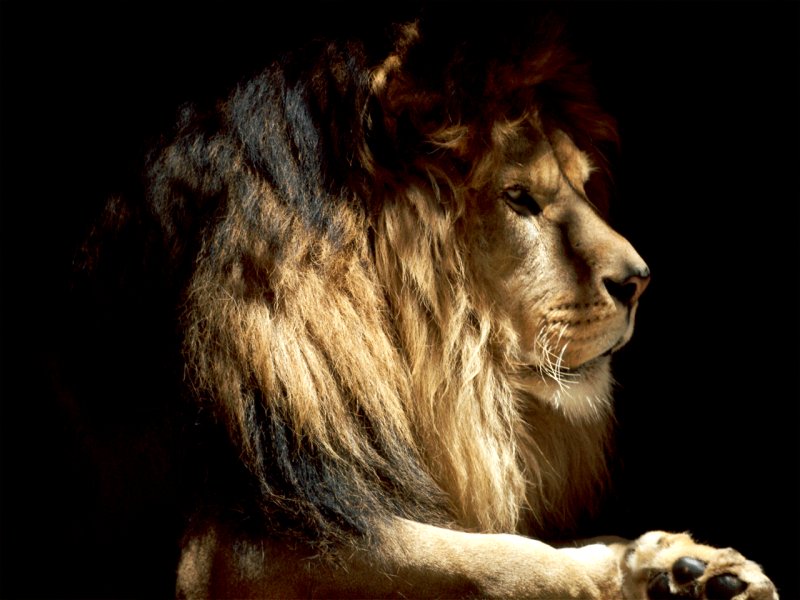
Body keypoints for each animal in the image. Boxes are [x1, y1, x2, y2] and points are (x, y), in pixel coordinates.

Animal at [74, 11, 777, 600]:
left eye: (582, 185)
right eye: (518, 198)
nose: (639, 281)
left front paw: (680, 568)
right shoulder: (223, 549)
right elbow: (505, 559)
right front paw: (614, 577)